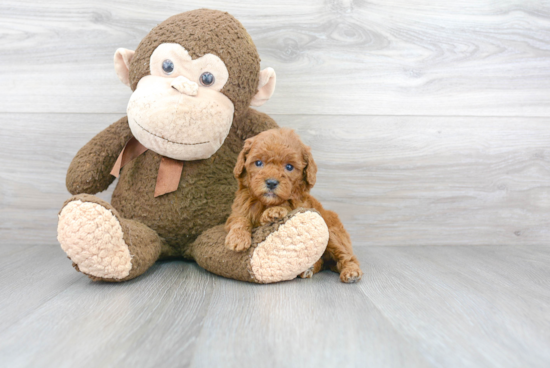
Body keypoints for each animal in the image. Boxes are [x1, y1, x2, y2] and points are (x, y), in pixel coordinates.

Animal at [224, 128, 362, 284]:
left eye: (289, 167)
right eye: (258, 163)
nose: (271, 182)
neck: (265, 202)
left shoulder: (300, 205)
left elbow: (287, 207)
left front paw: (273, 212)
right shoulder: (239, 208)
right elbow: (239, 220)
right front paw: (238, 238)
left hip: (334, 234)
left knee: (347, 257)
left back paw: (351, 272)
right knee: (320, 261)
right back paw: (309, 269)